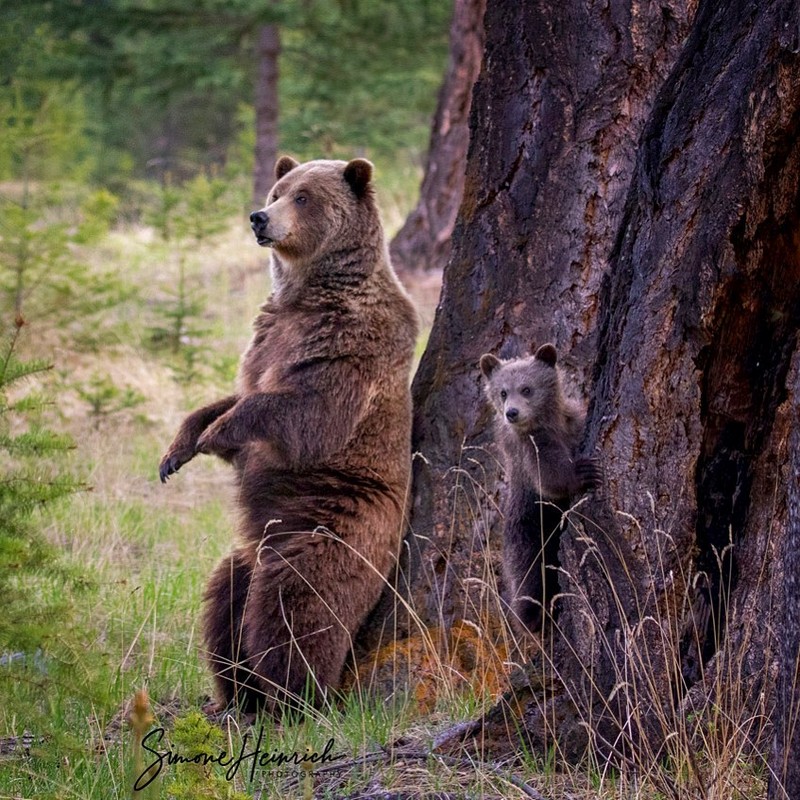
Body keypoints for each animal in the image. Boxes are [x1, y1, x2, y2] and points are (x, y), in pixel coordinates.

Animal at [158, 156, 418, 712]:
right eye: (277, 191)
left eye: (303, 197)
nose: (259, 217)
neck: (311, 294)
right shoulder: (267, 337)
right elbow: (238, 391)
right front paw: (179, 447)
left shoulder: (351, 345)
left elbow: (304, 412)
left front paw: (217, 431)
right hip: (250, 551)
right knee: (226, 598)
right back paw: (236, 696)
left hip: (331, 527)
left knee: (296, 603)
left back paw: (293, 697)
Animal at [482, 346, 600, 636]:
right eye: (503, 391)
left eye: (526, 388)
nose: (512, 413)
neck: (551, 422)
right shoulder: (530, 450)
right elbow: (549, 477)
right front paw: (583, 472)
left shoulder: (573, 423)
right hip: (528, 533)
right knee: (528, 578)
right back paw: (534, 616)